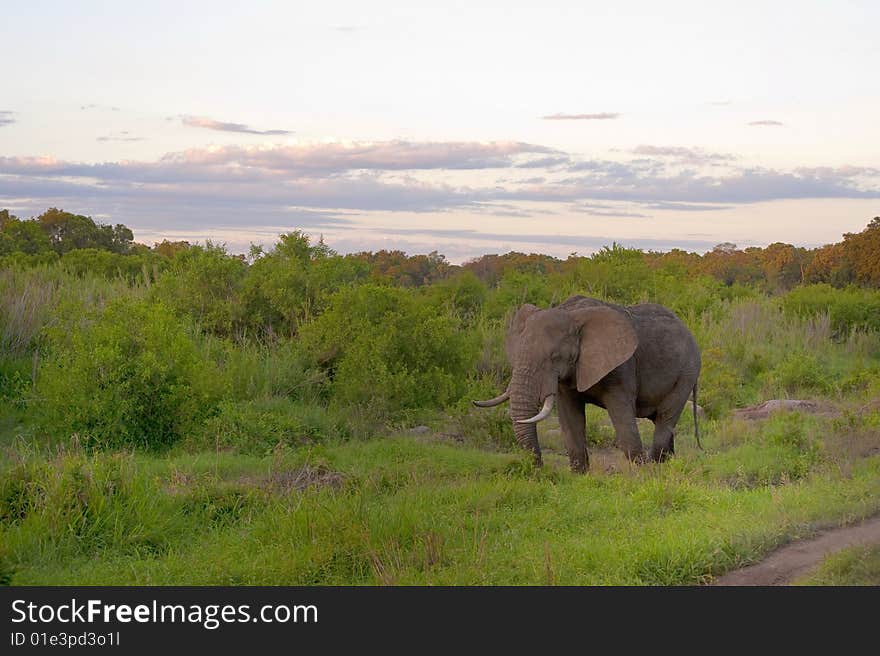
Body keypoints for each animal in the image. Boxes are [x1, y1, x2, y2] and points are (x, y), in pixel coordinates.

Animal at [474, 296, 700, 472]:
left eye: (554, 357)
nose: (538, 468)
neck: (571, 314)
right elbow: (570, 420)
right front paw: (579, 476)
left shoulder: (621, 368)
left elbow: (623, 421)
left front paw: (642, 475)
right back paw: (667, 466)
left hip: (686, 374)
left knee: (665, 419)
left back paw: (657, 468)